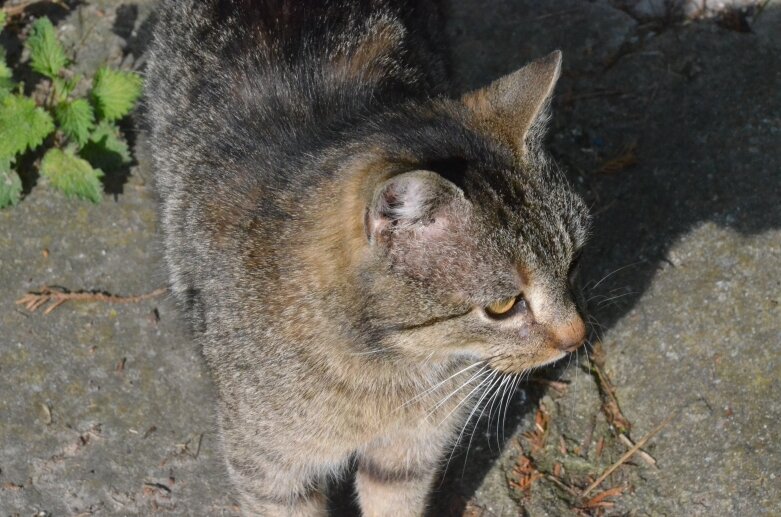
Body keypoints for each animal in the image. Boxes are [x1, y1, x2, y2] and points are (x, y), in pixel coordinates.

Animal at [146, 2, 588, 512]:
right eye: (503, 307)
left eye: (574, 262)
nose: (577, 338)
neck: (388, 368)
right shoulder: (269, 472)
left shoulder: (408, 455)